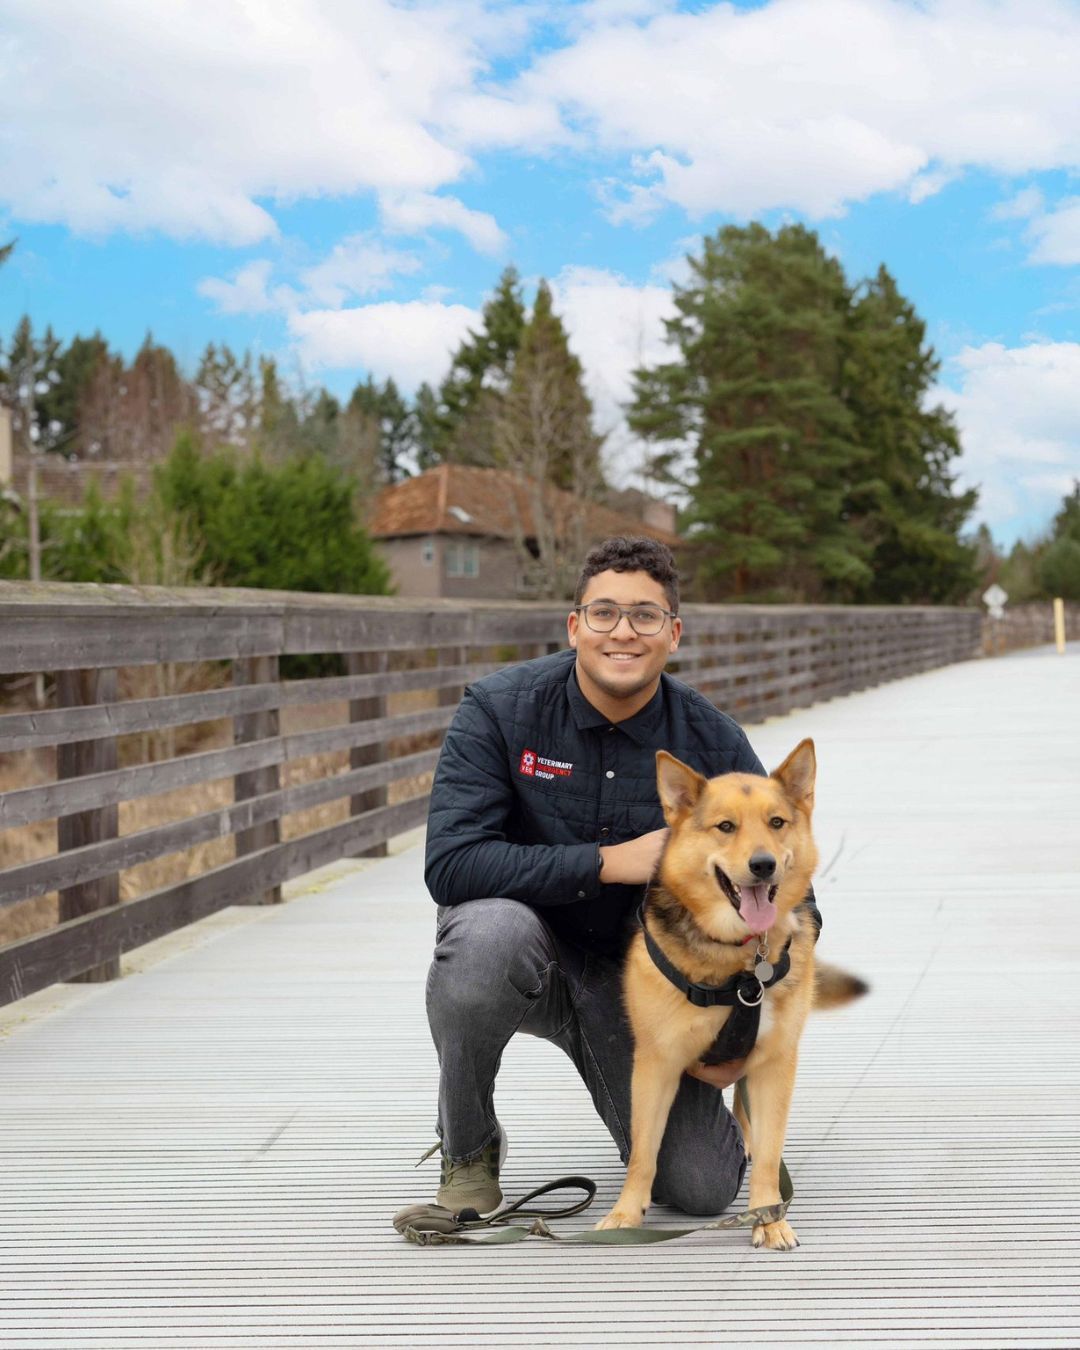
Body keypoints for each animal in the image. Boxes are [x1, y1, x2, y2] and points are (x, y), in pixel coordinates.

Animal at [594, 745, 864, 1247]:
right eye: (725, 826)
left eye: (777, 822)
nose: (763, 865)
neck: (739, 962)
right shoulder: (656, 1063)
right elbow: (644, 1151)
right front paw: (625, 1214)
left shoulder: (775, 1062)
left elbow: (771, 1149)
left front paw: (769, 1218)